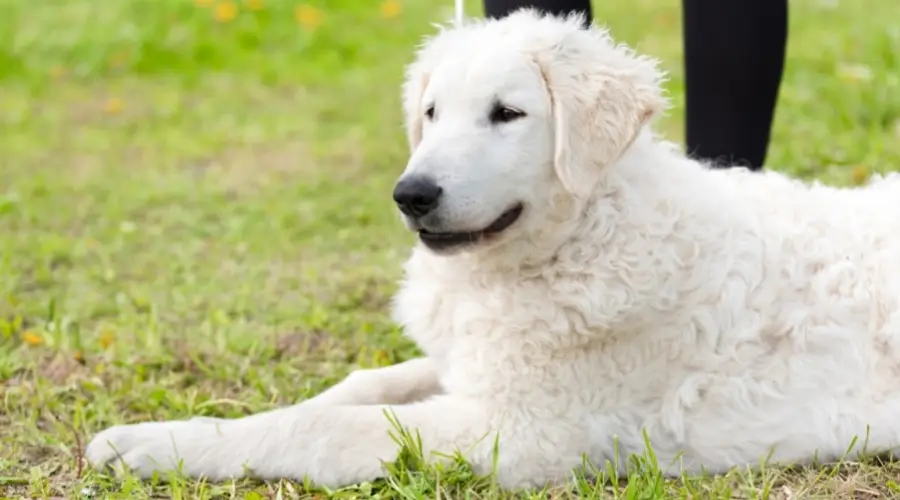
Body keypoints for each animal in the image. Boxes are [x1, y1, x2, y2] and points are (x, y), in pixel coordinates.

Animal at [88, 8, 900, 492]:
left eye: (507, 114)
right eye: (430, 113)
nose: (410, 195)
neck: (582, 235)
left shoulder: (519, 432)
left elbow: (320, 427)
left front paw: (152, 446)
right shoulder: (472, 366)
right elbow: (355, 387)